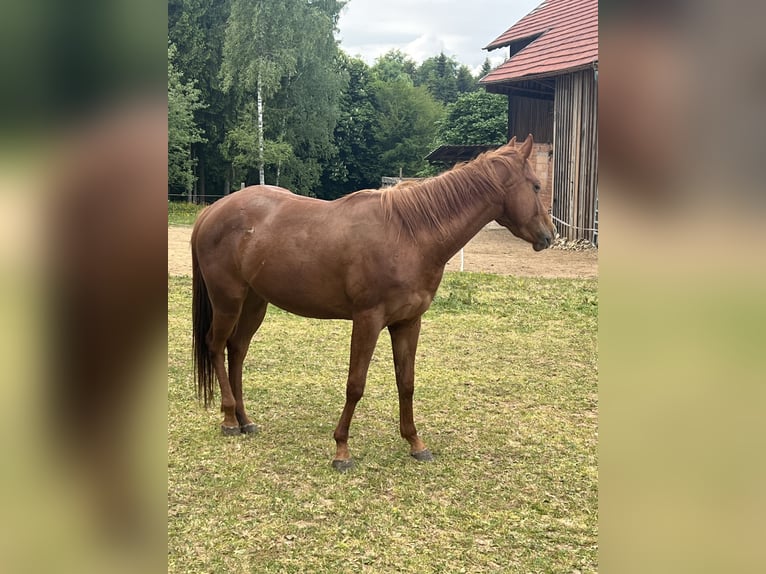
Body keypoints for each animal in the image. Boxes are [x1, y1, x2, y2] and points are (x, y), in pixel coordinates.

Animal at [191, 134, 555, 471]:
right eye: (536, 185)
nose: (549, 236)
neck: (410, 235)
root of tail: (212, 211)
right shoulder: (368, 320)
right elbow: (356, 384)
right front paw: (342, 449)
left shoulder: (408, 322)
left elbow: (406, 383)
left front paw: (415, 442)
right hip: (228, 300)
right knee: (216, 346)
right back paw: (228, 419)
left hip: (254, 303)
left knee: (237, 350)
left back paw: (245, 419)